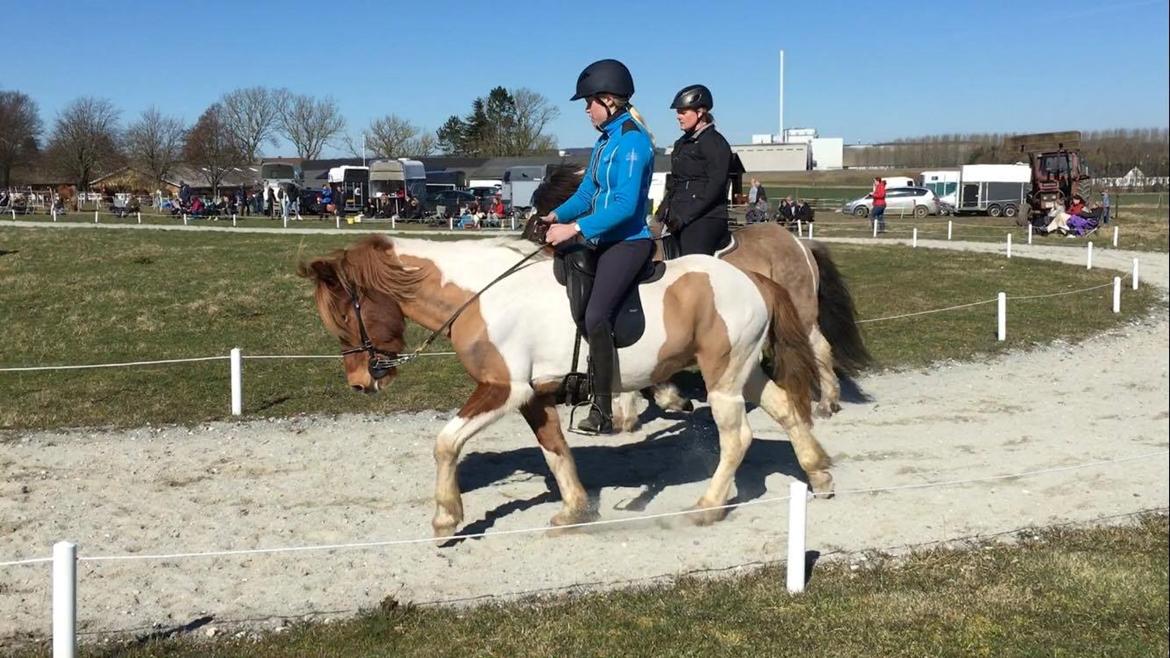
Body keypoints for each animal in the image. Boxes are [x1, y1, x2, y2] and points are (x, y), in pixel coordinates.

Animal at [301, 232, 833, 536]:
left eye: (344, 316)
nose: (359, 383)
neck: (480, 295)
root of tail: (752, 278)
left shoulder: (503, 388)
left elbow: (445, 442)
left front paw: (446, 517)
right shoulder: (532, 397)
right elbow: (555, 450)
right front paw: (576, 509)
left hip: (722, 377)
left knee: (737, 437)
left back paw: (707, 506)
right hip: (743, 372)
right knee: (786, 408)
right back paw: (819, 473)